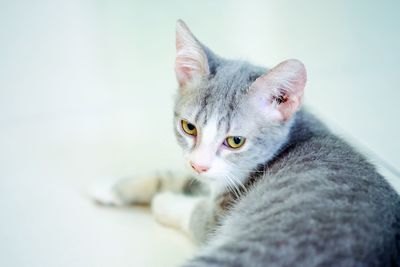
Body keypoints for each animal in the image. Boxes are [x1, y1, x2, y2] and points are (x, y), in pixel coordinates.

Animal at [90, 19, 400, 266]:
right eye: (189, 127)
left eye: (235, 141)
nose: (199, 165)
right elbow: (174, 176)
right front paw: (112, 186)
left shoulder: (220, 213)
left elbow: (197, 215)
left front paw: (165, 201)